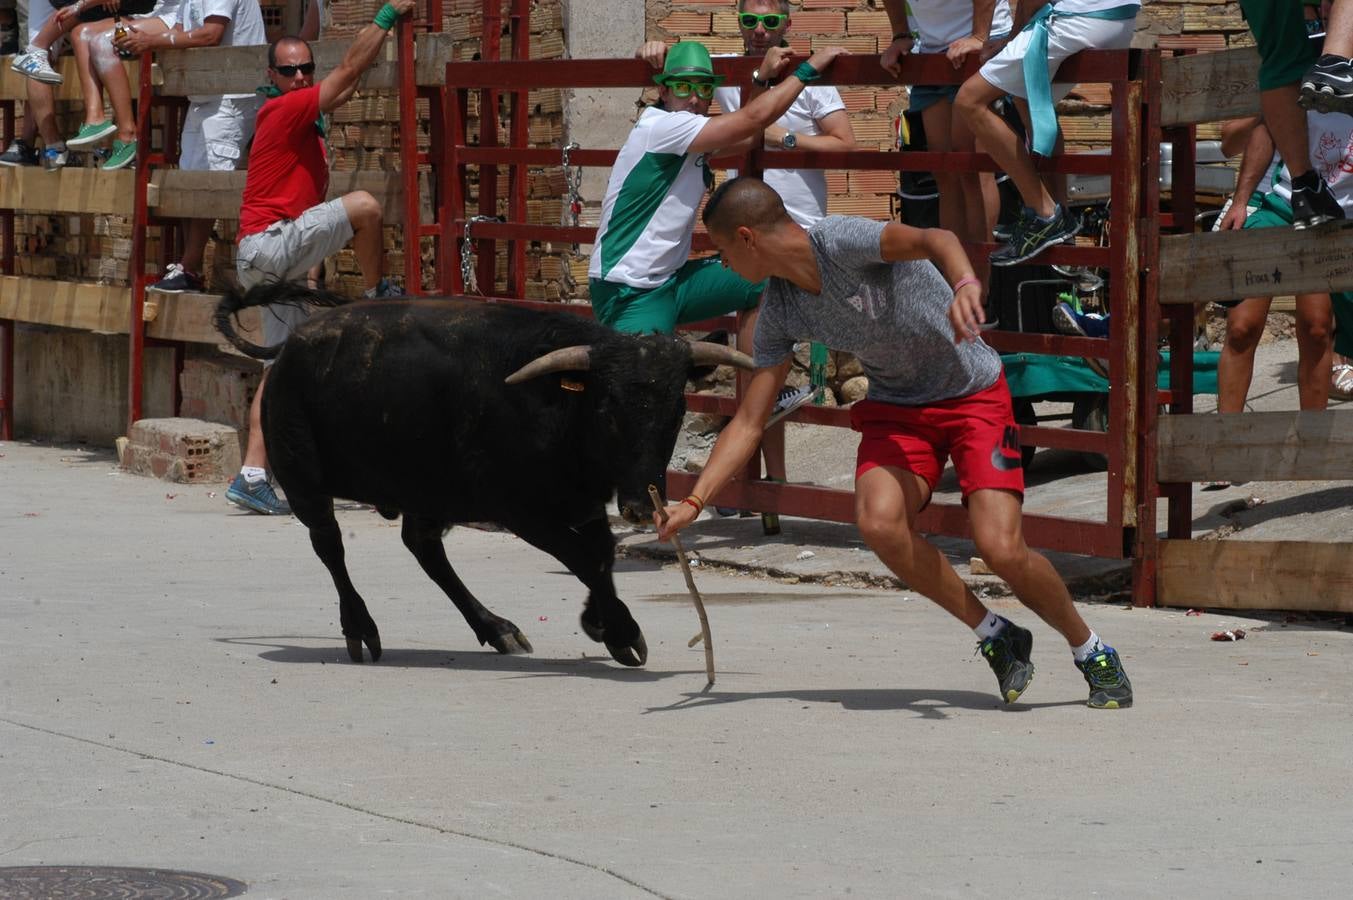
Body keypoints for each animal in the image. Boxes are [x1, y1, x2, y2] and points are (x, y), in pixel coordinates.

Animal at [216, 281, 757, 665]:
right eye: (607, 409)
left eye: (675, 412)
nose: (643, 507)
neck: (560, 406)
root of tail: (294, 345)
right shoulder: (522, 511)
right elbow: (584, 559)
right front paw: (622, 632)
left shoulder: (581, 503)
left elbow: (601, 556)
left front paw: (600, 622)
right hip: (305, 481)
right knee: (331, 547)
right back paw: (362, 630)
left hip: (426, 487)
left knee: (423, 547)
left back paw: (497, 629)